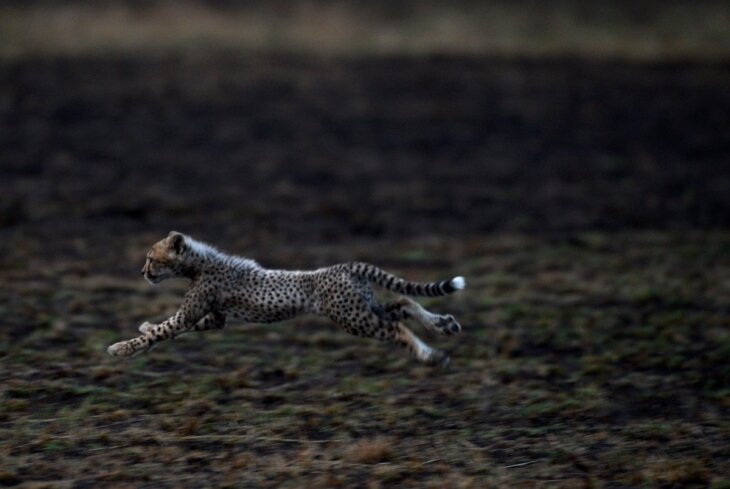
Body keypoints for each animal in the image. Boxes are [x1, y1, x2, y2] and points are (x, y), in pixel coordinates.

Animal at [105, 231, 464, 364]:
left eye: (151, 258)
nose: (142, 271)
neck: (199, 263)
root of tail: (343, 265)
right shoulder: (216, 317)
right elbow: (174, 328)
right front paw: (145, 328)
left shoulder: (192, 312)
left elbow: (167, 328)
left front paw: (122, 347)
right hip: (361, 307)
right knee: (403, 305)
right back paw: (443, 324)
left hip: (354, 319)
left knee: (397, 329)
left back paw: (428, 353)